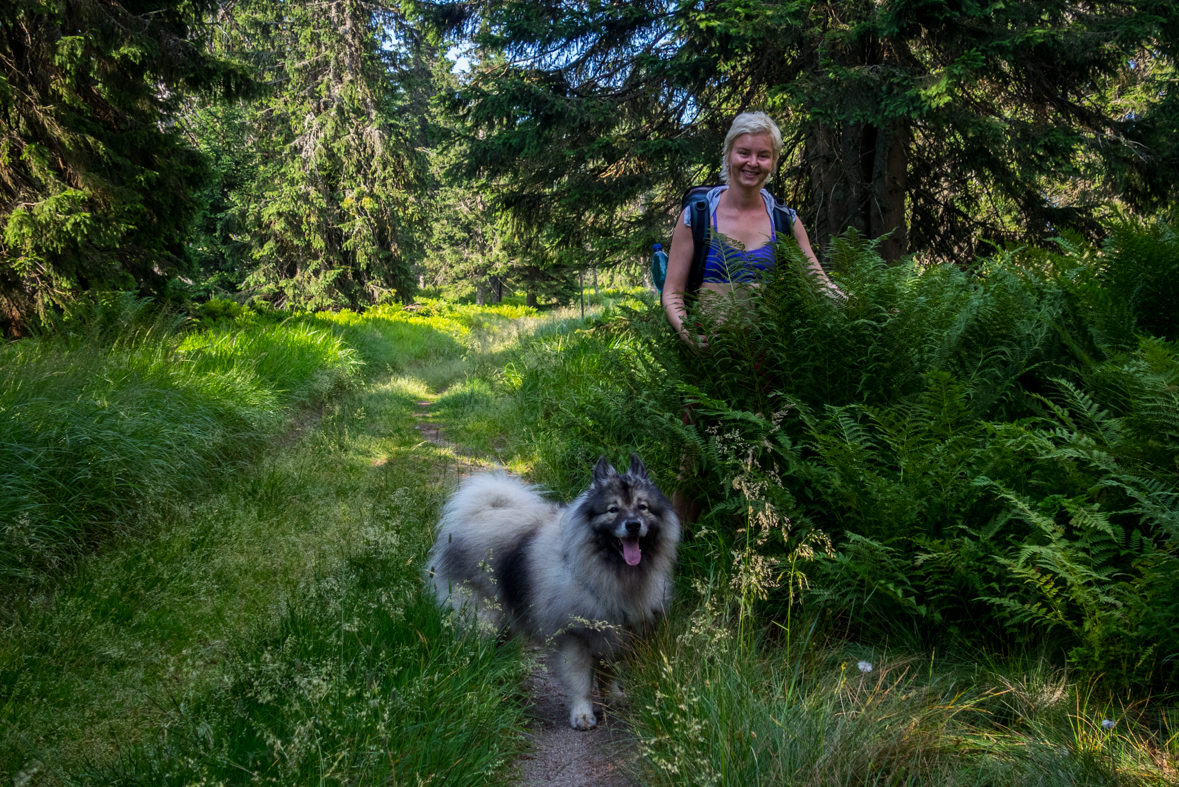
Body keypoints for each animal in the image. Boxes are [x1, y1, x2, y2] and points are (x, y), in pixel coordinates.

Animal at [429, 454, 679, 730]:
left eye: (642, 507)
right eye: (613, 509)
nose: (633, 525)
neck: (606, 570)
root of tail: (477, 514)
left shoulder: (616, 631)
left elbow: (609, 672)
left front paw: (614, 696)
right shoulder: (575, 635)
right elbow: (580, 682)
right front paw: (582, 715)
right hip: (483, 619)